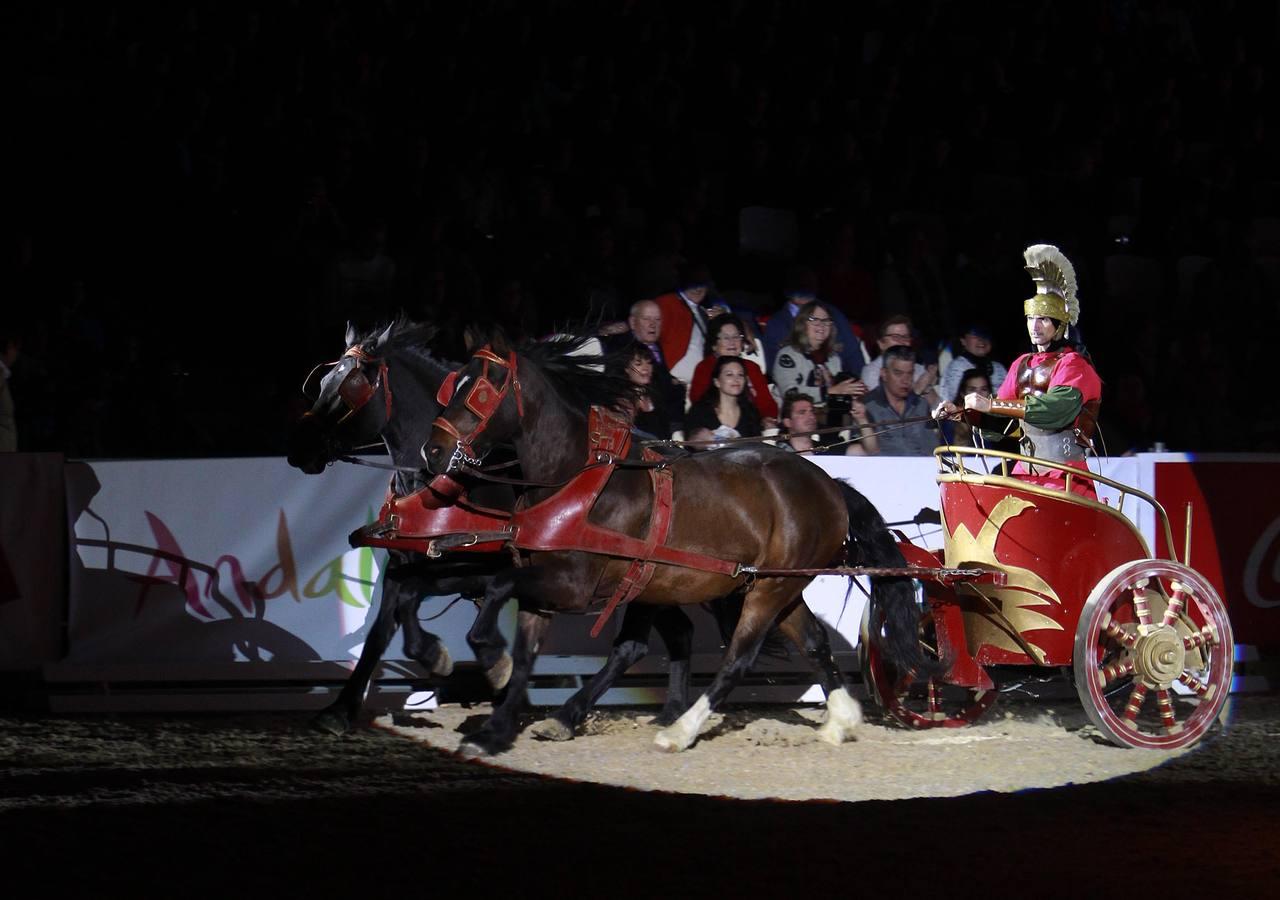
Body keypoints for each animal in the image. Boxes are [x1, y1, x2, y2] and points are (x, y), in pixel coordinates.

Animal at [288, 320, 701, 737]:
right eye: (323, 382)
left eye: (352, 386)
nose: (299, 449)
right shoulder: (404, 564)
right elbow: (381, 631)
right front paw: (339, 709)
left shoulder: (477, 567)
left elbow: (416, 601)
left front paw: (474, 663)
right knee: (679, 632)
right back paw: (671, 712)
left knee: (636, 645)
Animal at [424, 335, 926, 757]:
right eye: (451, 384)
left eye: (479, 391)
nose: (433, 451)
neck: (577, 478)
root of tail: (829, 485)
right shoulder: (544, 584)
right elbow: (527, 653)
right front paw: (495, 730)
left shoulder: (572, 586)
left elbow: (497, 588)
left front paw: (492, 662)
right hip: (776, 586)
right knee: (816, 643)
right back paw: (840, 721)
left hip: (766, 591)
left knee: (738, 659)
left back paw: (680, 730)